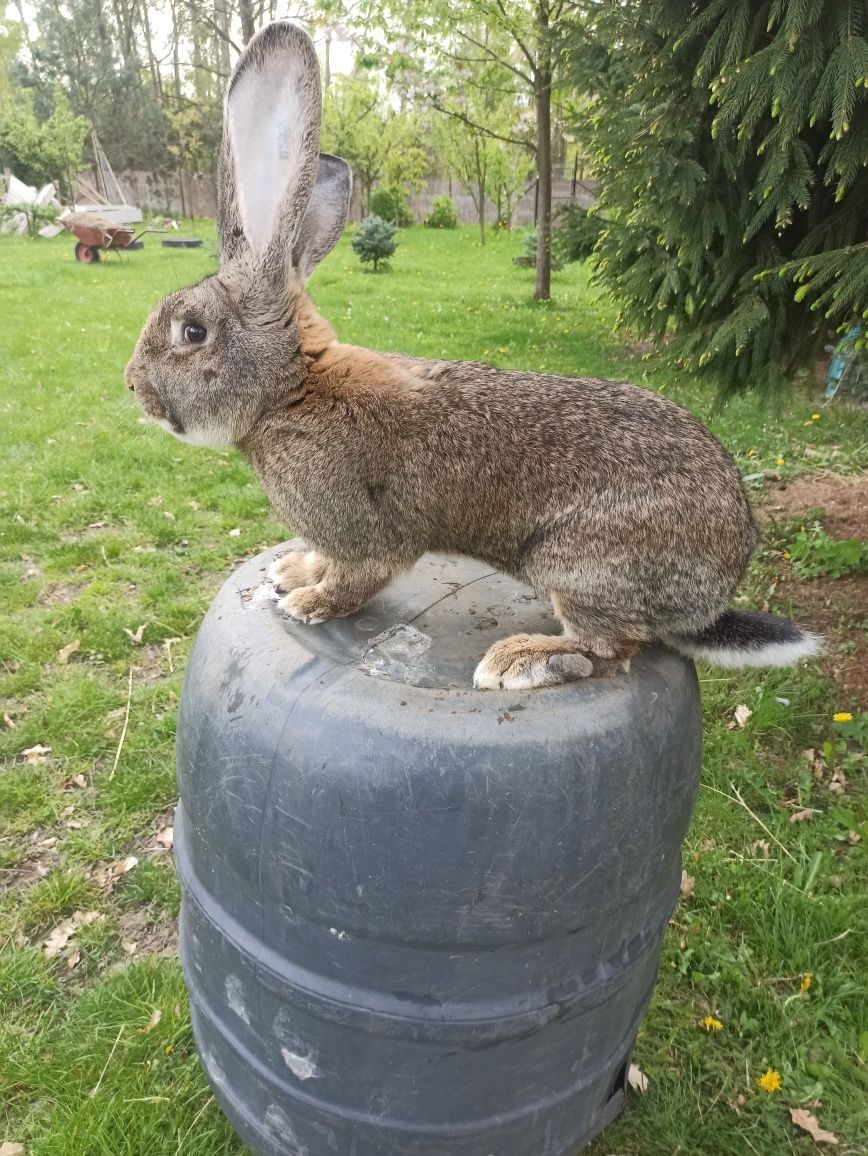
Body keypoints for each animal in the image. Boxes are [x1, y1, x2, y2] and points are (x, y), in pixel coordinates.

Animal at [123, 22, 822, 688]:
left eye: (192, 332)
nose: (133, 386)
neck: (289, 389)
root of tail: (716, 590)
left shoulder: (365, 532)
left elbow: (359, 576)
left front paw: (309, 603)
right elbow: (323, 560)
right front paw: (294, 572)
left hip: (579, 564)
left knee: (610, 650)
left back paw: (520, 661)